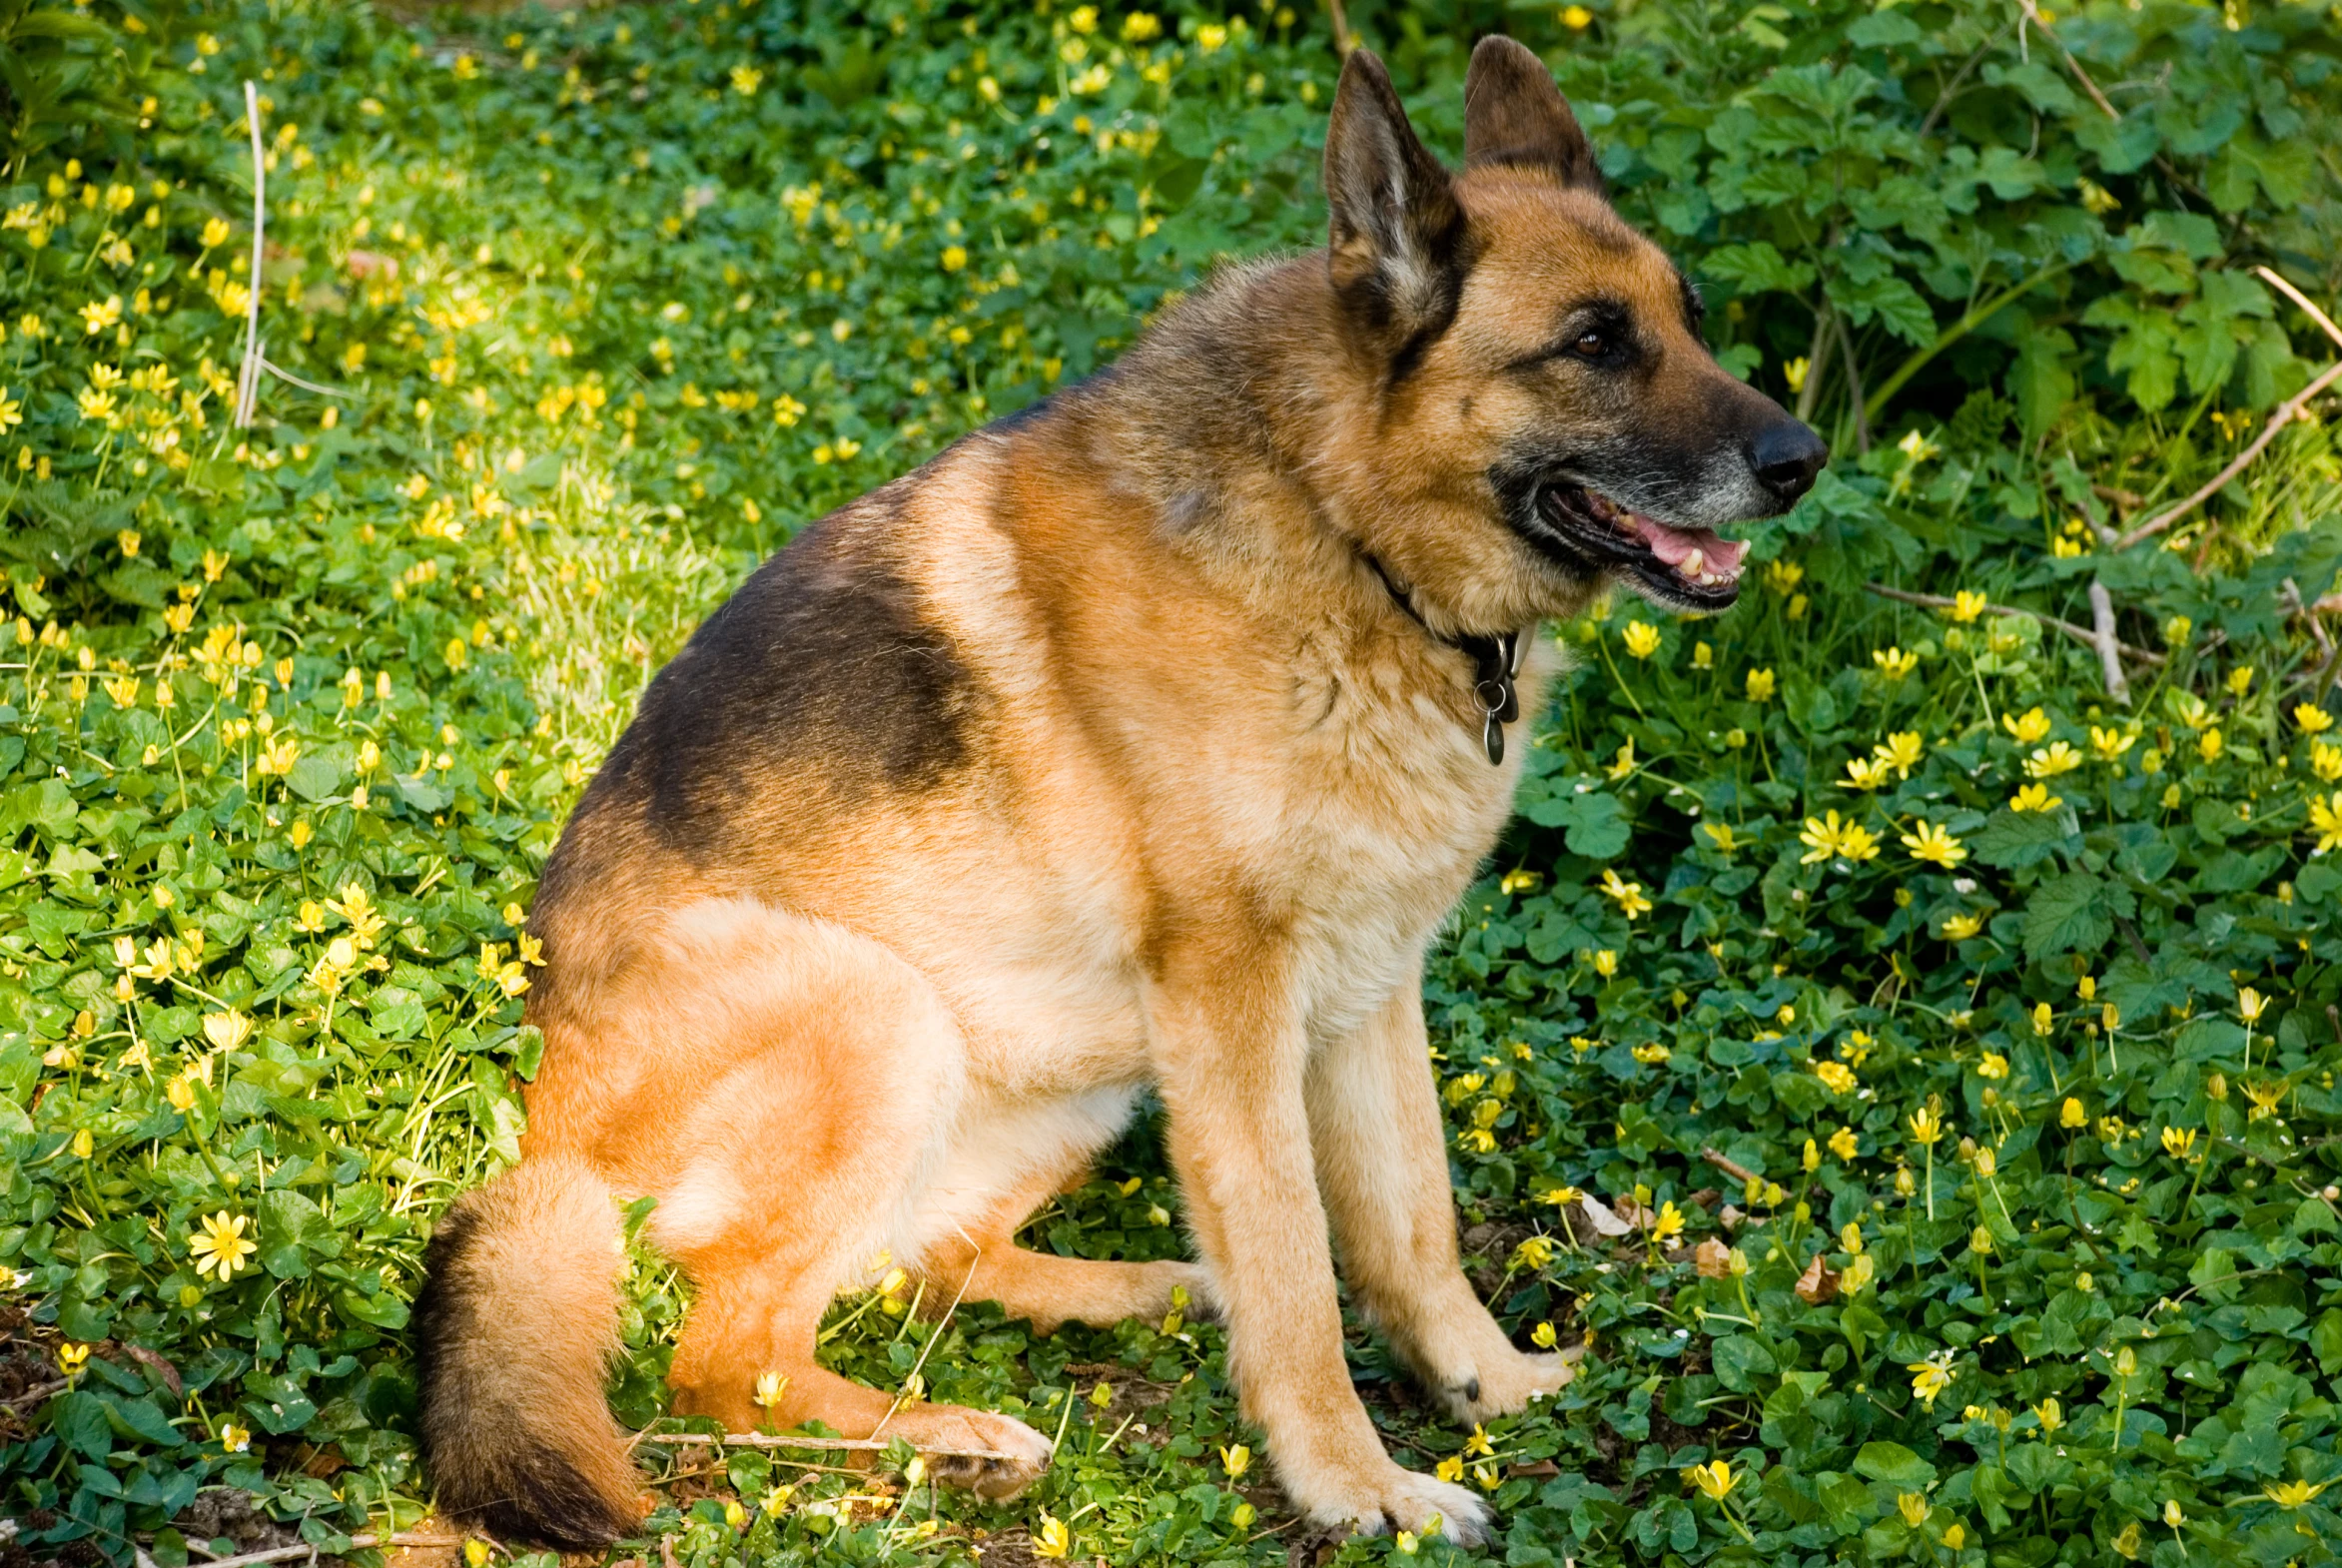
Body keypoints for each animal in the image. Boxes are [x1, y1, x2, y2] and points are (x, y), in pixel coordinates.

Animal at [411, 33, 1817, 1544]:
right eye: (1592, 343)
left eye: (1686, 320)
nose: (1801, 461)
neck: (1341, 526)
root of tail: (544, 1145)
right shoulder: (1235, 1007)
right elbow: (1296, 1266)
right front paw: (1354, 1484)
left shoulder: (1369, 987)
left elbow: (1410, 1225)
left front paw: (1486, 1384)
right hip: (887, 1008)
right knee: (732, 1357)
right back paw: (950, 1439)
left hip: (1084, 1066)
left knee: (928, 1261)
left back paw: (1135, 1293)